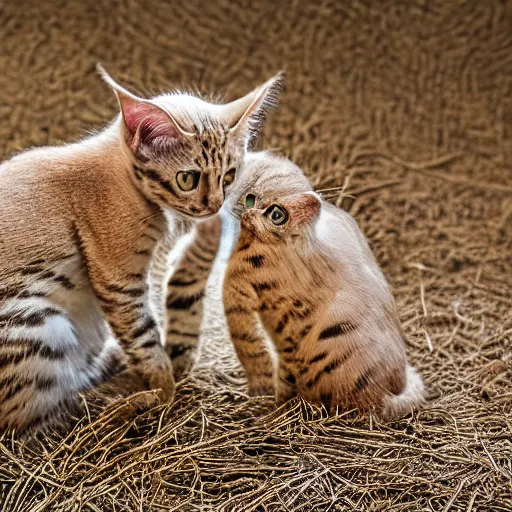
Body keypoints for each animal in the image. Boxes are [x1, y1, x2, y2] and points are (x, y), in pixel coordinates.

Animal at [0, 66, 282, 430]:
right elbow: (145, 336)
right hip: (36, 323)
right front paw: (163, 388)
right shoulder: (120, 282)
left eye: (229, 176)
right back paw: (124, 395)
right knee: (47, 415)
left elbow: (179, 296)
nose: (214, 205)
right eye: (187, 179)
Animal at [222, 154, 426, 418]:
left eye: (276, 214)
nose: (245, 210)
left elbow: (249, 345)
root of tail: (386, 395)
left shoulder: (240, 288)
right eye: (250, 200)